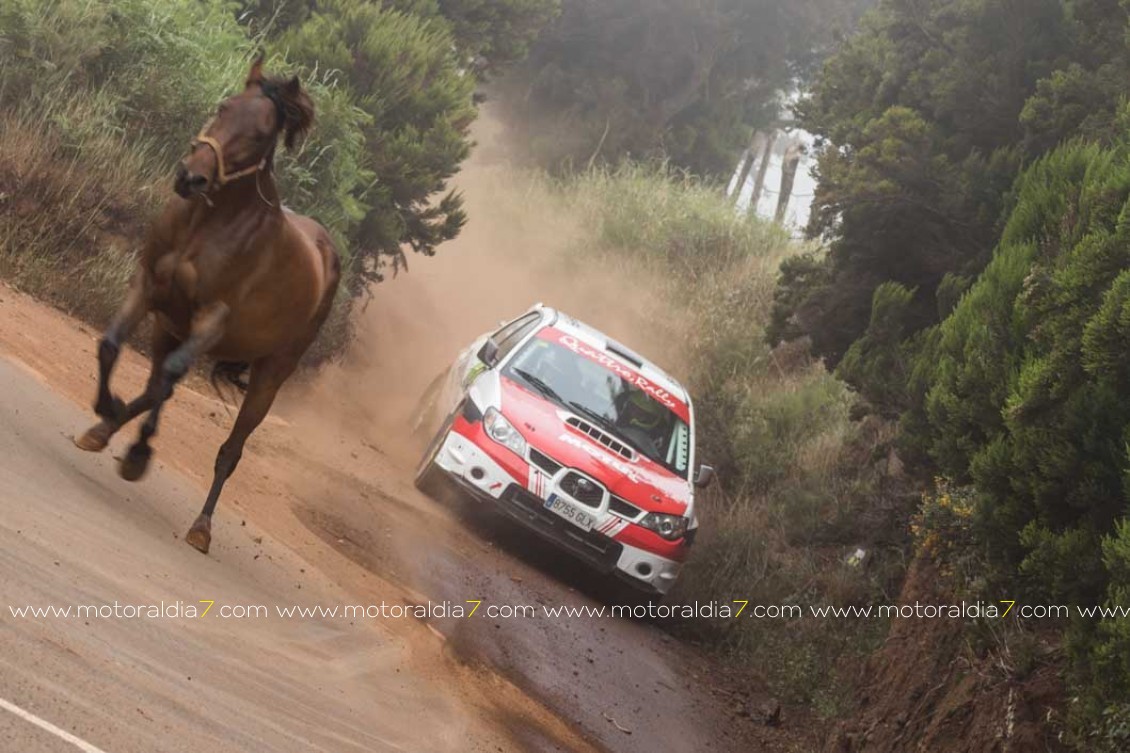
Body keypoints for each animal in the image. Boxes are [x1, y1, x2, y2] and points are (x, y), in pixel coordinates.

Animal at [75, 57, 339, 551]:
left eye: (260, 134)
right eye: (224, 106)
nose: (190, 177)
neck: (204, 224)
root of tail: (326, 250)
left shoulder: (212, 320)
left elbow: (171, 379)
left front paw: (137, 450)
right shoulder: (148, 287)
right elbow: (111, 345)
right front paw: (106, 411)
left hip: (270, 375)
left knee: (228, 447)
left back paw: (200, 526)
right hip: (168, 327)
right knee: (156, 384)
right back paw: (105, 430)